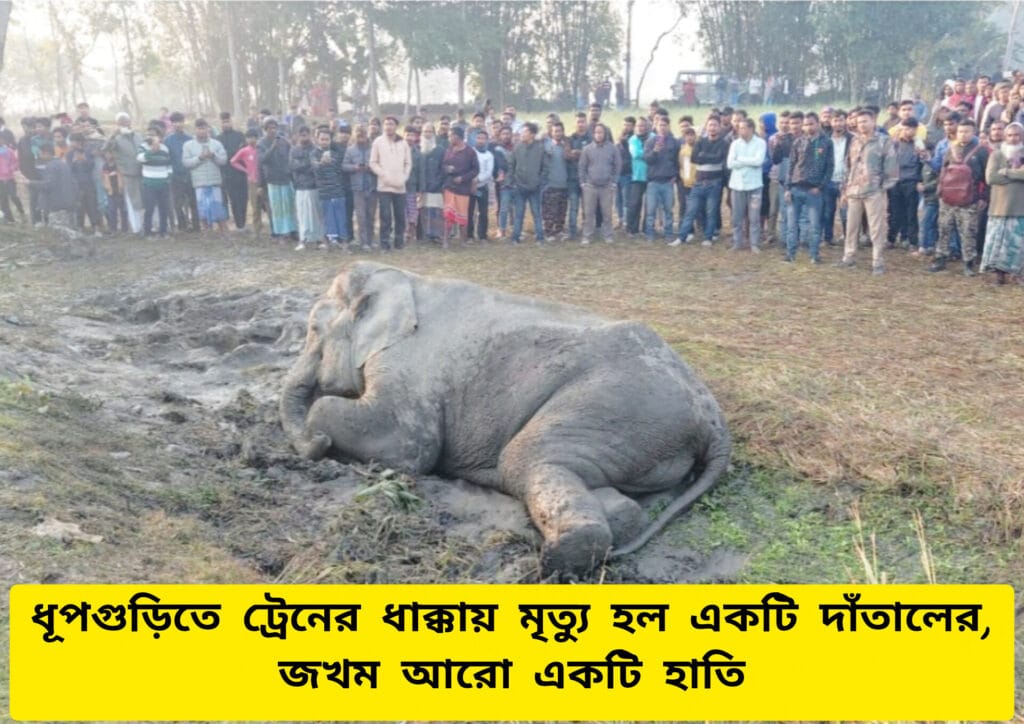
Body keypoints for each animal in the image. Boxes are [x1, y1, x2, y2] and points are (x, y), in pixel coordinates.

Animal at [280, 261, 731, 575]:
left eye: (313, 330)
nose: (317, 448)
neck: (402, 278)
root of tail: (712, 418)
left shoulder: (410, 364)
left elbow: (406, 445)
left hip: (620, 403)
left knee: (526, 457)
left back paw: (556, 560)